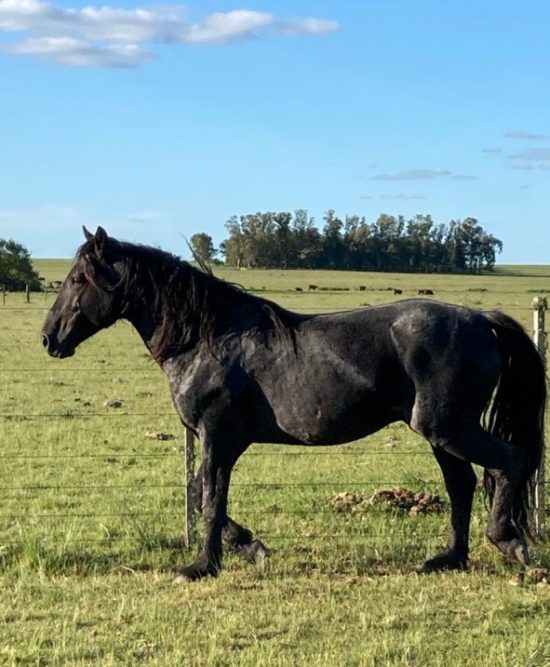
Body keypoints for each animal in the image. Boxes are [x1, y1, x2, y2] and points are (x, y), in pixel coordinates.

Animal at [42, 228, 548, 580]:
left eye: (77, 279)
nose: (49, 339)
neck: (208, 338)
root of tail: (480, 319)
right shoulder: (220, 441)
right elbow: (208, 497)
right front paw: (251, 547)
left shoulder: (216, 436)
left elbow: (209, 500)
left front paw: (203, 566)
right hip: (441, 433)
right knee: (462, 485)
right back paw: (448, 559)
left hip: (448, 428)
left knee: (508, 461)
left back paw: (508, 542)